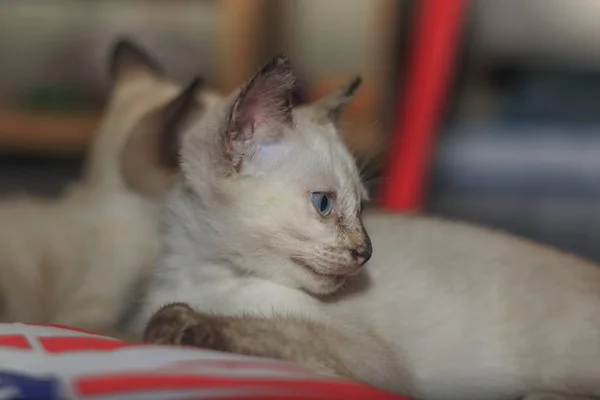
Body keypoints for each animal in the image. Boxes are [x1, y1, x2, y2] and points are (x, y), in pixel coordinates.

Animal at [138, 57, 600, 400]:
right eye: (324, 204)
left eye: (361, 207)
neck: (212, 274)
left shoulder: (373, 360)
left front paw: (182, 324)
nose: (366, 253)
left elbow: (265, 330)